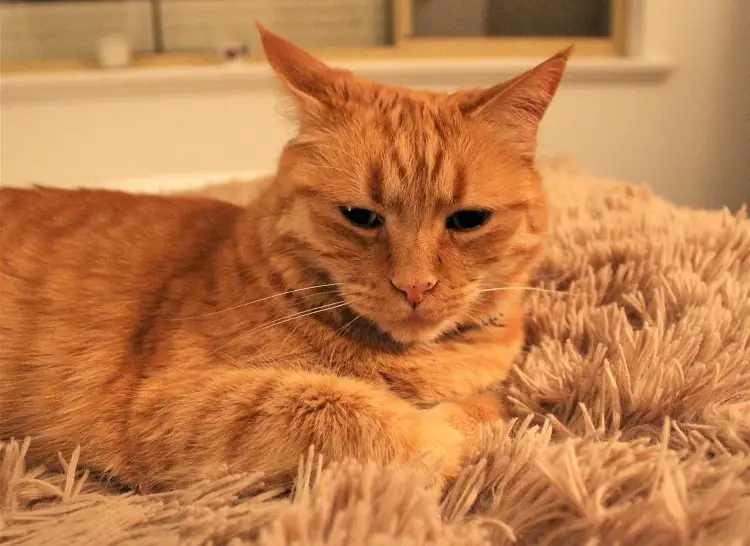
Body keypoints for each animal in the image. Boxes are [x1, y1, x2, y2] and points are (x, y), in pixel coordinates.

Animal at [0, 26, 572, 488]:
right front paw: (443, 434)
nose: (414, 286)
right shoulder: (173, 404)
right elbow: (342, 405)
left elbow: (493, 405)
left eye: (468, 220)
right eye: (359, 216)